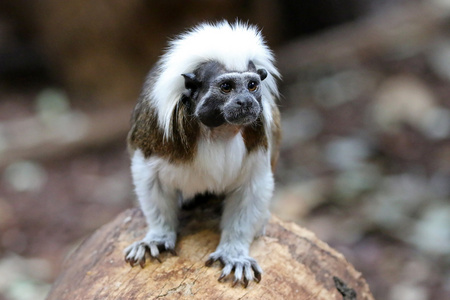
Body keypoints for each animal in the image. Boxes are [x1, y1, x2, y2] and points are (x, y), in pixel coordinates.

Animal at [123, 19, 282, 288]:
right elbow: (150, 179)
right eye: (226, 87)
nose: (246, 102)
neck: (219, 130)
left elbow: (253, 186)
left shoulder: (259, 136)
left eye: (252, 85)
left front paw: (234, 253)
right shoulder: (153, 132)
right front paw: (158, 237)